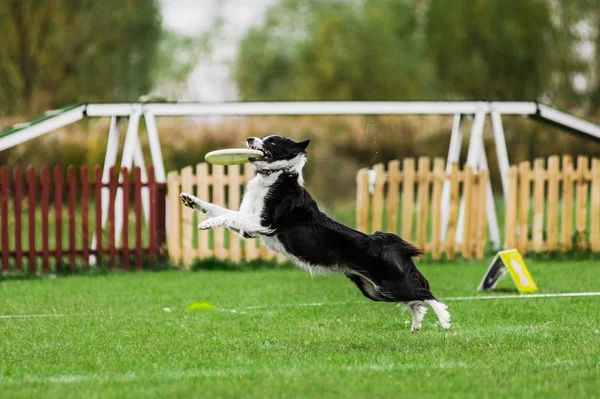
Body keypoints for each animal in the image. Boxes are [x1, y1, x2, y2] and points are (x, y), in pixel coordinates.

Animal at [179, 136, 450, 332]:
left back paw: (445, 319)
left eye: (272, 142)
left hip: (388, 280)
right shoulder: (249, 231)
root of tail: (379, 240)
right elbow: (221, 209)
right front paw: (191, 200)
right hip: (375, 290)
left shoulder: (263, 223)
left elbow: (228, 215)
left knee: (424, 293)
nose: (249, 138)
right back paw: (416, 324)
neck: (273, 178)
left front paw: (207, 224)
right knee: (414, 300)